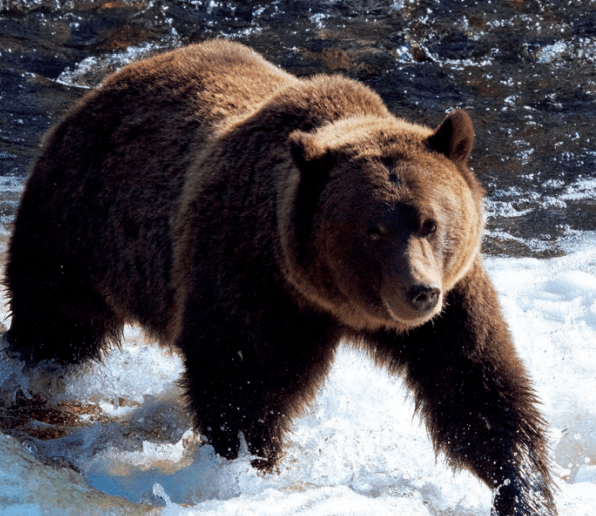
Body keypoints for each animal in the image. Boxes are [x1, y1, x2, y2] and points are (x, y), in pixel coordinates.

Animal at [4, 41, 556, 516]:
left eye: (430, 222)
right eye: (373, 230)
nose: (418, 292)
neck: (334, 301)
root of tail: (110, 83)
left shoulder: (453, 300)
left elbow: (475, 388)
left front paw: (524, 490)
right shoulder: (255, 280)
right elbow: (244, 385)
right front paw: (247, 468)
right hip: (79, 224)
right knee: (55, 320)